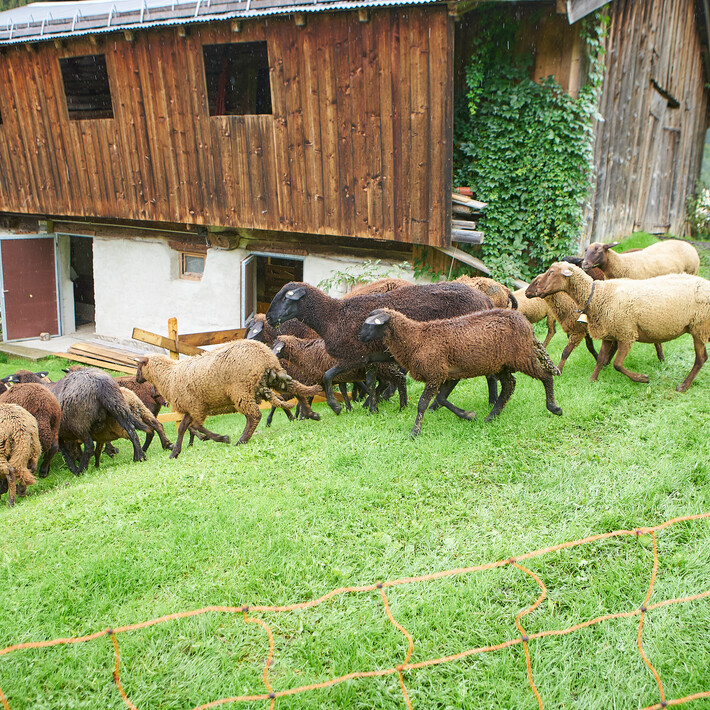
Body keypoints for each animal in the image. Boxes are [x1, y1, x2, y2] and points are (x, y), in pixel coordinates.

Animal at [135, 339, 322, 457]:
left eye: (138, 366)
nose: (136, 379)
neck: (168, 376)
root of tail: (265, 356)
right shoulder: (191, 408)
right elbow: (182, 428)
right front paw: (175, 452)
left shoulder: (197, 406)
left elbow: (195, 426)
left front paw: (221, 438)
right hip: (273, 377)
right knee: (297, 389)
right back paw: (312, 414)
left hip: (240, 391)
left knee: (254, 416)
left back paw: (241, 440)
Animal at [265, 281, 497, 414]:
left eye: (285, 297)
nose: (268, 318)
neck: (332, 318)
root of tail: (485, 299)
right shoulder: (370, 359)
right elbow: (369, 382)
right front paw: (372, 408)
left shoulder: (353, 357)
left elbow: (328, 376)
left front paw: (337, 406)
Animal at [358, 308, 562, 437]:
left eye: (371, 324)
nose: (359, 337)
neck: (416, 339)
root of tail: (527, 325)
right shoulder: (449, 374)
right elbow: (441, 399)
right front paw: (468, 415)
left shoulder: (435, 373)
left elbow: (423, 404)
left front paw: (415, 432)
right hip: (501, 364)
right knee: (509, 385)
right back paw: (491, 417)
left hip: (522, 356)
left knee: (545, 376)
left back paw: (554, 407)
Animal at [526, 262, 710, 391]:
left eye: (551, 272)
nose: (528, 292)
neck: (596, 295)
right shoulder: (608, 333)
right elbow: (601, 358)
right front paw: (593, 379)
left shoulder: (626, 334)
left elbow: (618, 364)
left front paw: (641, 378)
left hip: (699, 327)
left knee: (701, 358)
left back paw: (683, 386)